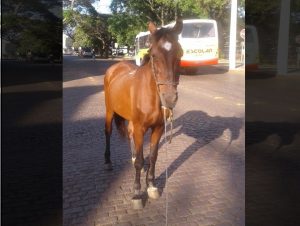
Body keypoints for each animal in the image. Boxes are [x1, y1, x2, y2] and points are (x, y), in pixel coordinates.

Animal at [103, 19, 183, 208]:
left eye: (180, 54)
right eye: (153, 55)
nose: (169, 98)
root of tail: (115, 67)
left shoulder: (158, 128)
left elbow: (153, 156)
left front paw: (152, 186)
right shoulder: (140, 127)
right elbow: (140, 162)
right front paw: (137, 193)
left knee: (130, 135)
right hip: (109, 111)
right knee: (108, 132)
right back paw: (108, 161)